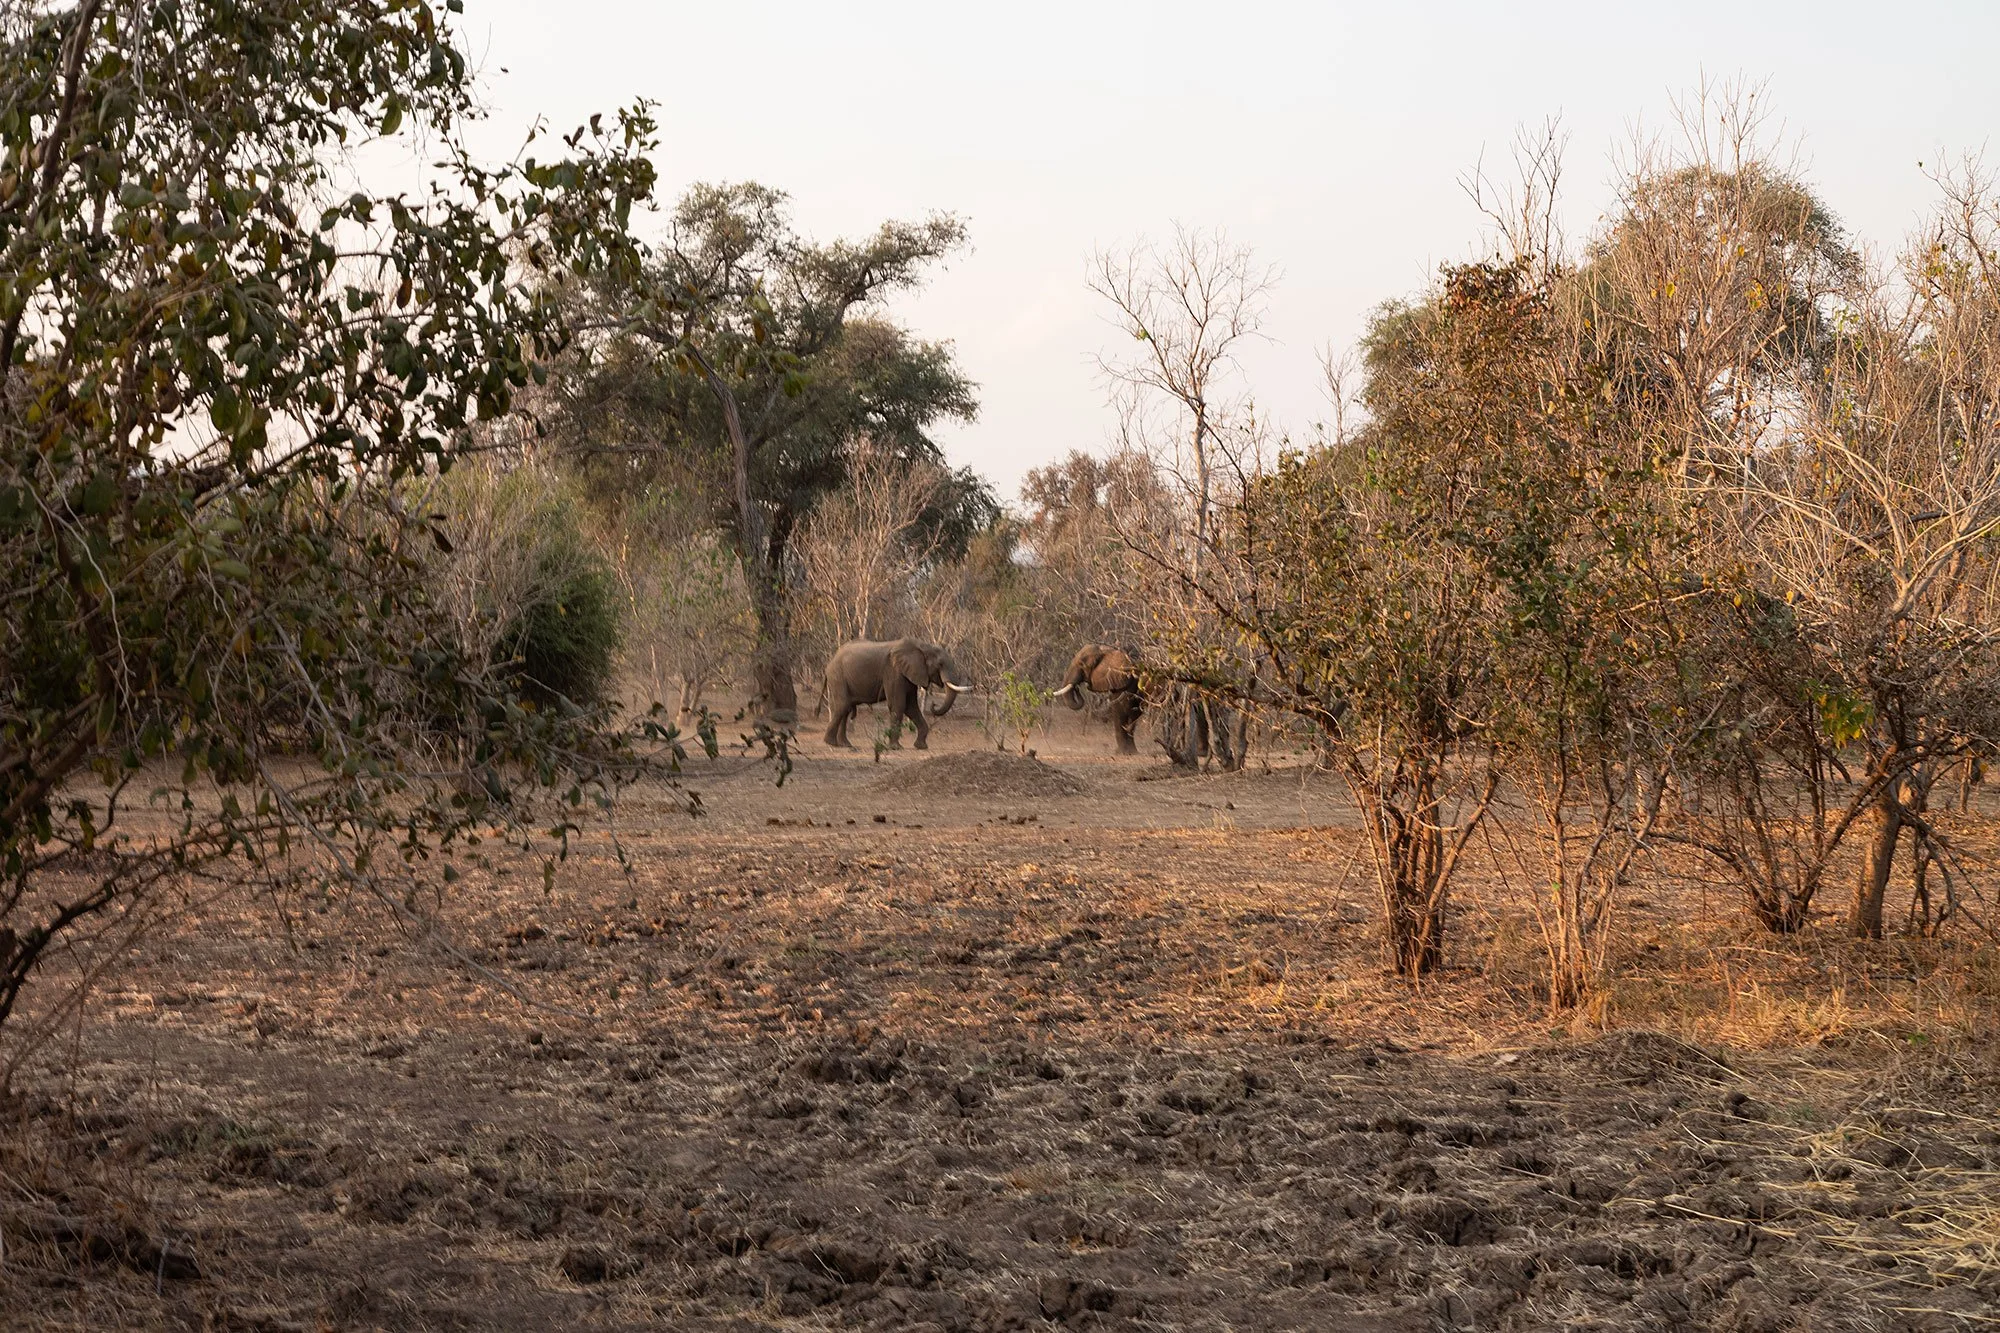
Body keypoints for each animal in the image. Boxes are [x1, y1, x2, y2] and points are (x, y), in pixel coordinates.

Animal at [821, 638, 973, 750]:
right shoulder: (893, 671)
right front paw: (896, 748)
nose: (934, 705)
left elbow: (911, 707)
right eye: (940, 664)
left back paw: (845, 745)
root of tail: (830, 662)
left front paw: (921, 746)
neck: (922, 646)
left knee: (846, 708)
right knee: (843, 706)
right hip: (838, 677)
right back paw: (831, 743)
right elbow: (898, 705)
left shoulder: (910, 674)